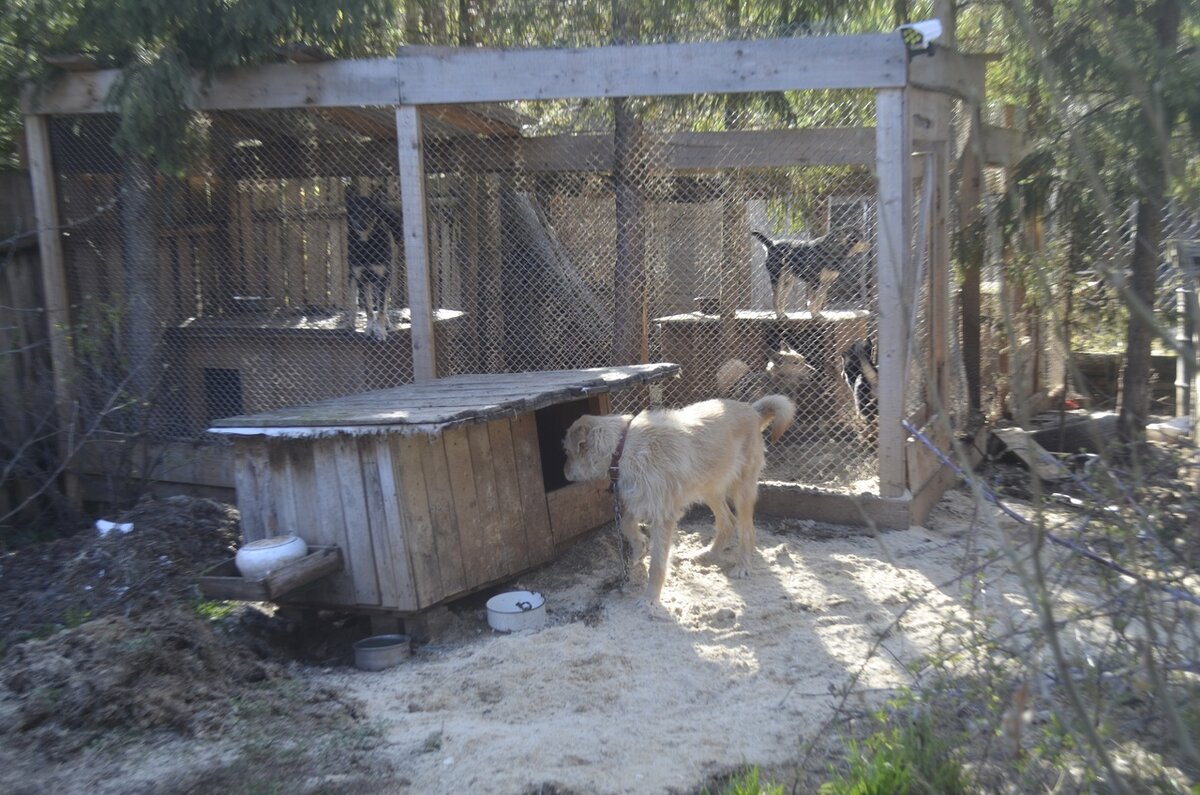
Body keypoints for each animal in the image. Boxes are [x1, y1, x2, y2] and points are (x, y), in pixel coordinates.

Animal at [345, 192, 405, 343]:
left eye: (369, 211)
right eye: (355, 211)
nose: (362, 224)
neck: (366, 244)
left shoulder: (383, 278)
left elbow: (381, 310)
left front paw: (380, 331)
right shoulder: (362, 280)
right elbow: (369, 310)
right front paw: (370, 329)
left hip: (387, 278)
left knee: (383, 305)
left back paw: (386, 323)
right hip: (352, 279)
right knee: (353, 304)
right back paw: (350, 323)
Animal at [564, 396, 796, 610]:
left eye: (566, 452)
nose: (564, 475)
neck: (623, 448)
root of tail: (753, 411)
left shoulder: (662, 514)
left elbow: (657, 565)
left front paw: (650, 598)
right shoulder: (641, 499)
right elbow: (626, 524)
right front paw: (639, 549)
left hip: (741, 491)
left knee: (747, 530)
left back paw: (743, 566)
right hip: (708, 488)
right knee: (728, 522)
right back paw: (708, 554)